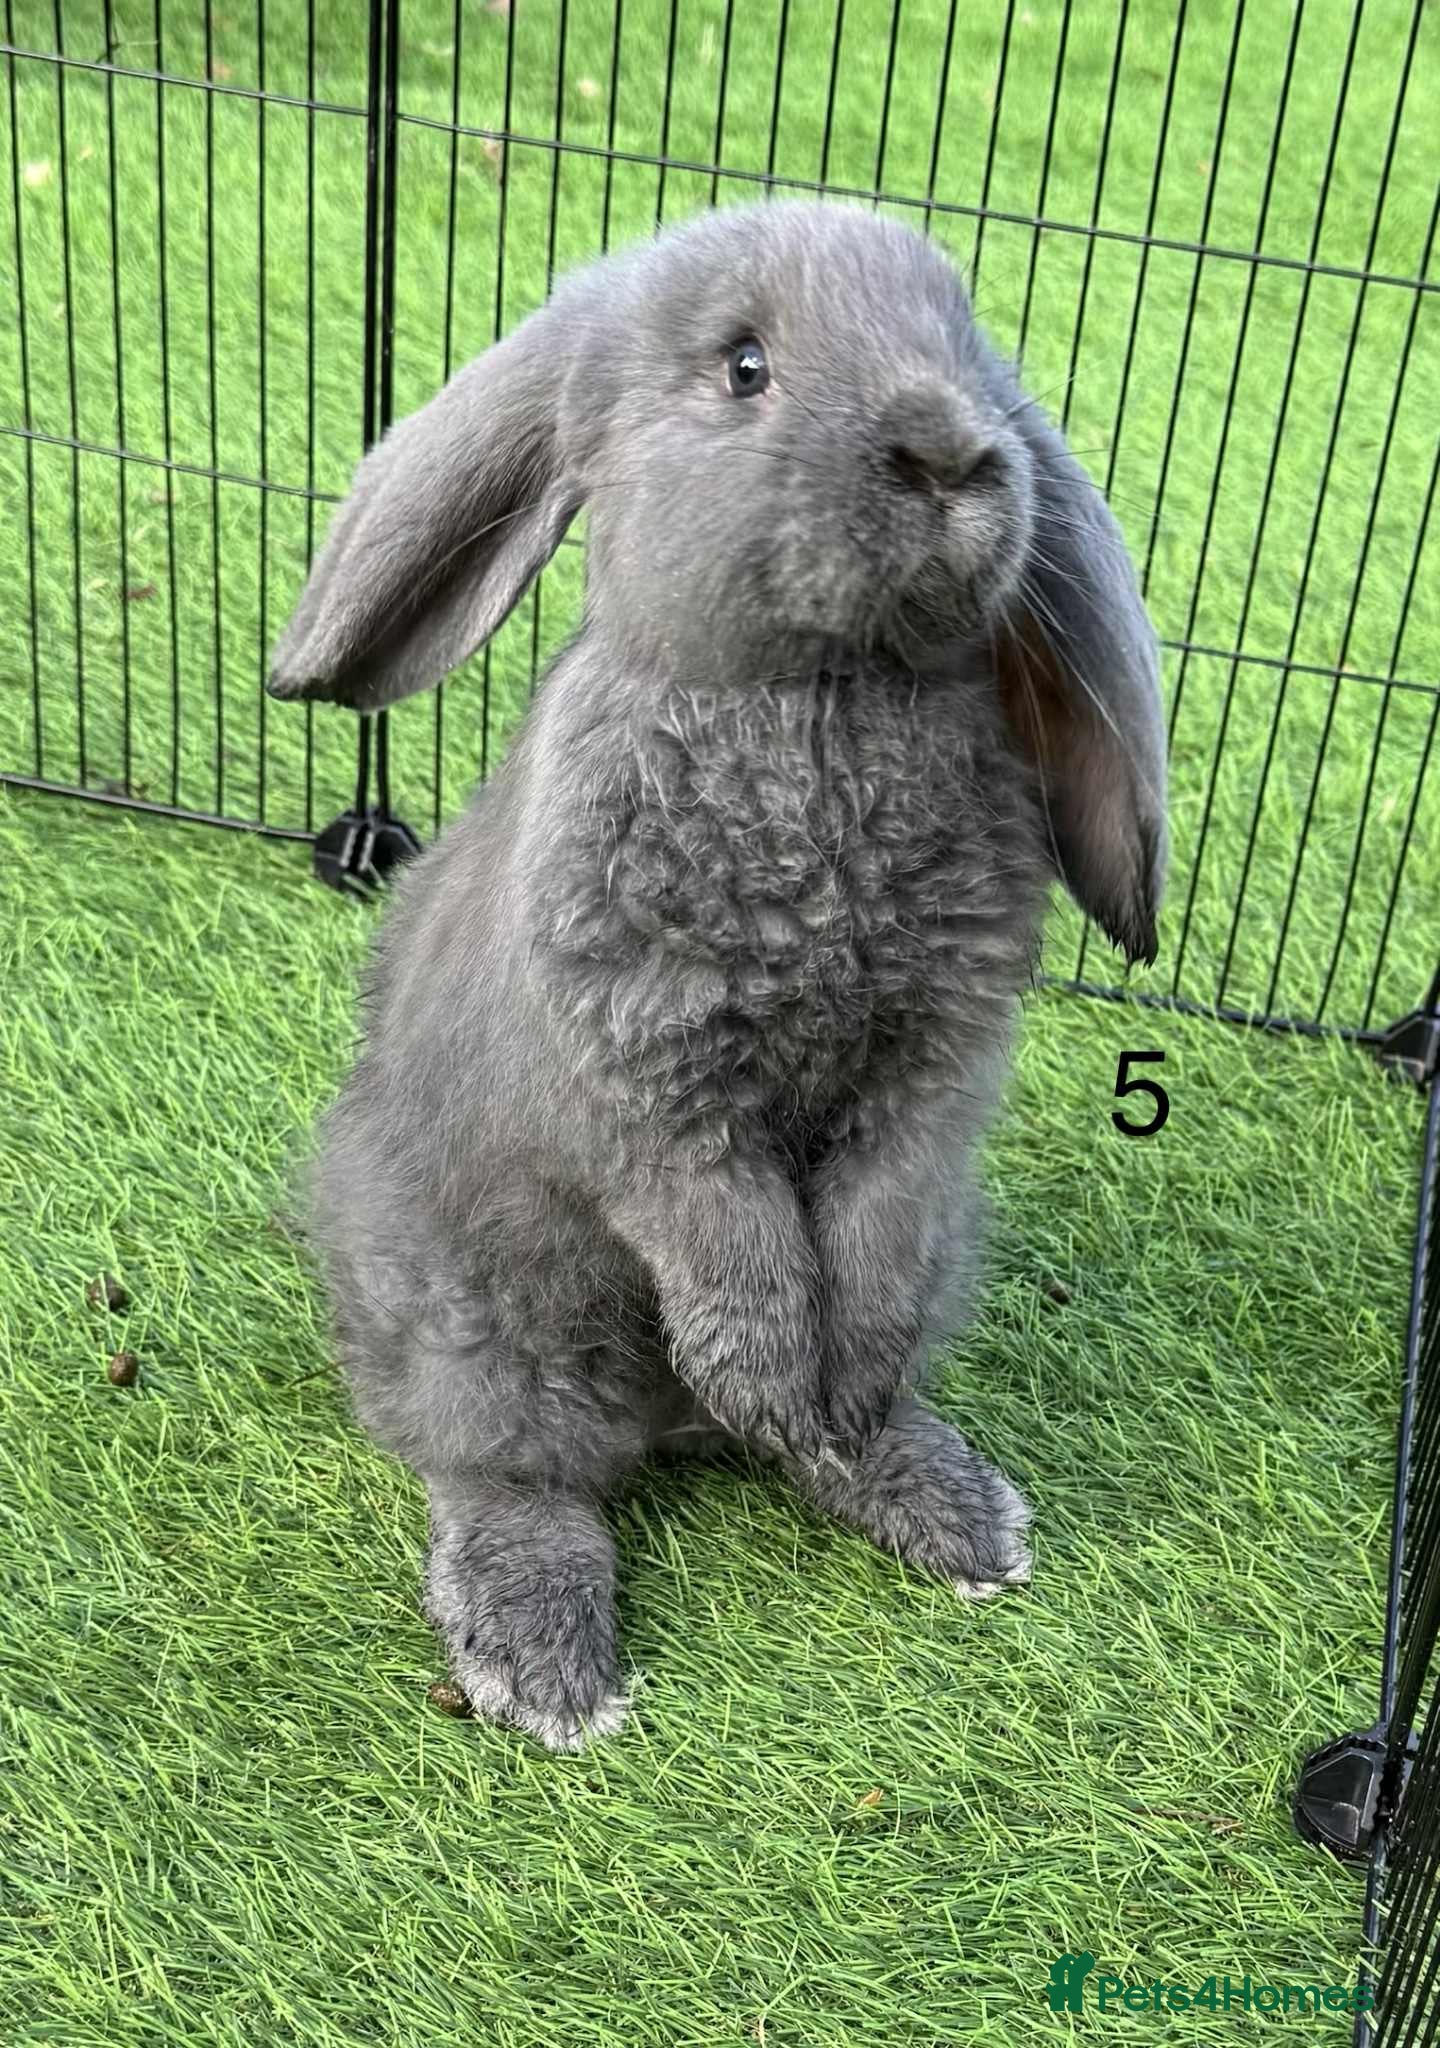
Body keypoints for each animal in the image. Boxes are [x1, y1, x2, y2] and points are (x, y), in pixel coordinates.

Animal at [267, 200, 1166, 1752]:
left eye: (972, 345)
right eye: (745, 365)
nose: (952, 452)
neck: (819, 699)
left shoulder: (931, 1082)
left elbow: (868, 1231)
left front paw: (828, 1388)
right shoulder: (651, 1088)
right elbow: (729, 1238)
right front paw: (762, 1371)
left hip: (943, 1252)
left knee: (835, 1412)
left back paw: (927, 1494)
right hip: (487, 1310)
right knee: (513, 1471)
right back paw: (553, 1660)